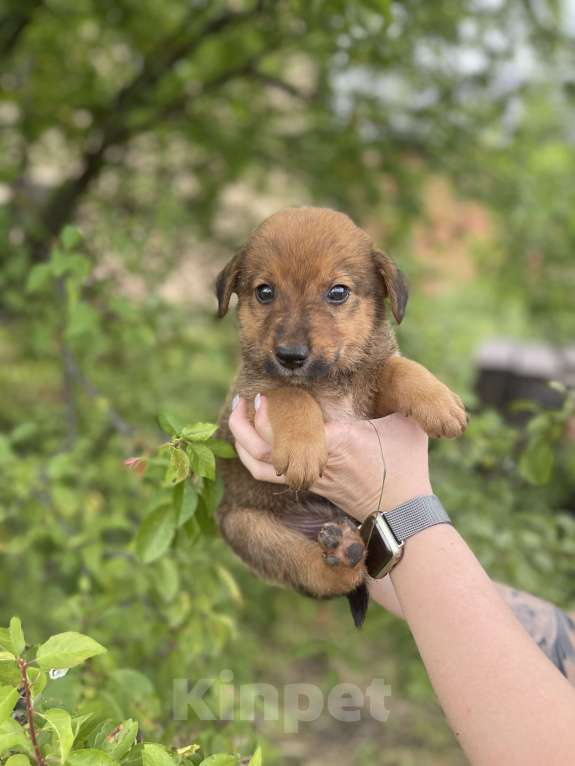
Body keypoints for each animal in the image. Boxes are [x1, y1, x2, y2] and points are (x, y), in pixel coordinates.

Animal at [214, 207, 466, 628]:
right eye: (265, 292)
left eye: (337, 292)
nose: (290, 356)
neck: (330, 380)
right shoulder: (249, 393)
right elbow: (290, 393)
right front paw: (302, 449)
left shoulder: (375, 399)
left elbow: (398, 368)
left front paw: (439, 401)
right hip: (249, 529)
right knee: (321, 575)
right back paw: (343, 555)